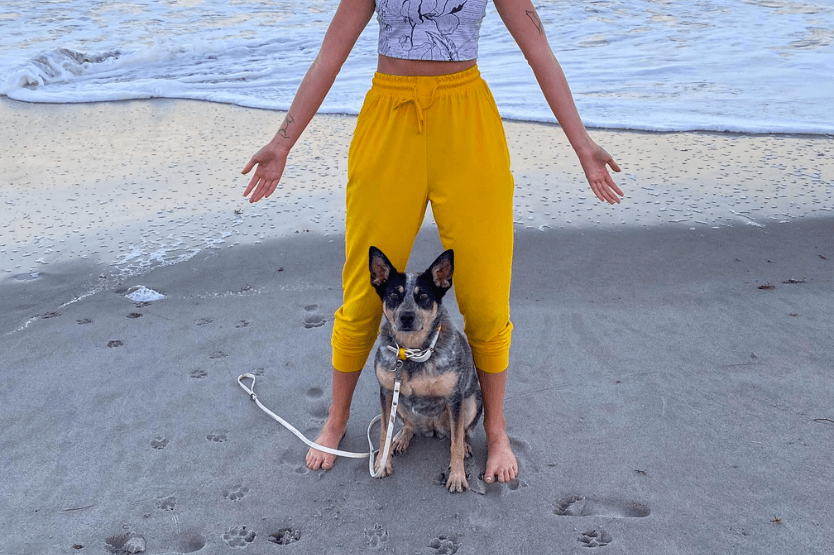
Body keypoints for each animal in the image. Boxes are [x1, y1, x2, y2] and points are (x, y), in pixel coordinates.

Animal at [366, 245, 480, 494]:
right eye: (394, 295)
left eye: (424, 296)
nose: (407, 316)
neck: (411, 352)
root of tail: (432, 428)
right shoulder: (386, 392)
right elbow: (383, 432)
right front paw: (382, 463)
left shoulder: (455, 398)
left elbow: (456, 444)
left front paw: (457, 476)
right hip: (400, 405)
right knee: (408, 425)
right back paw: (401, 438)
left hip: (472, 402)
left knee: (461, 433)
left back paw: (466, 445)